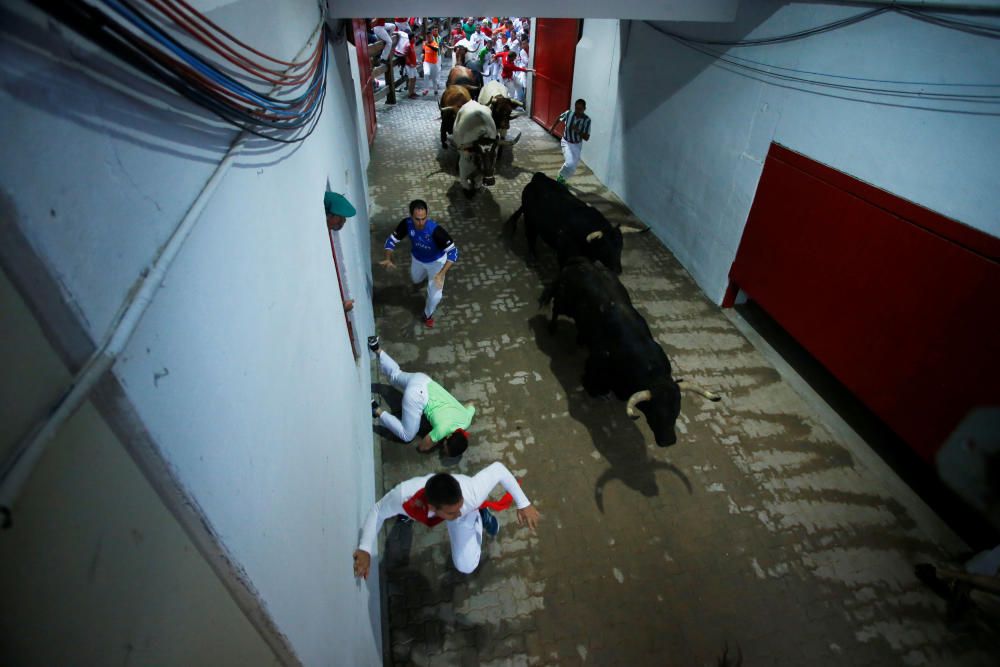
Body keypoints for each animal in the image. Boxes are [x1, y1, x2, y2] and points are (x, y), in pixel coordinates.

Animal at [540, 258, 720, 446]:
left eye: (676, 411)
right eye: (656, 412)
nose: (669, 441)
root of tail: (579, 264)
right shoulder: (596, 362)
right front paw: (594, 391)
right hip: (564, 303)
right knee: (555, 308)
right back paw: (552, 328)